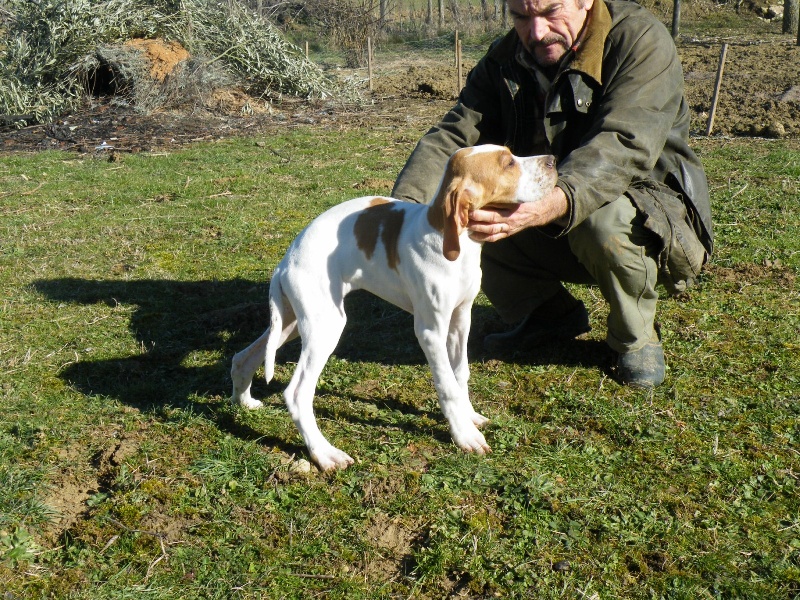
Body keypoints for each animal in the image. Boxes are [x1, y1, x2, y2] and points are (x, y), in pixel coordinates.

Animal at [231, 144, 556, 468]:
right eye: (508, 163)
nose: (552, 160)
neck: (451, 239)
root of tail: (286, 261)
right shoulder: (430, 331)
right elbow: (447, 385)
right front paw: (463, 435)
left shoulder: (460, 319)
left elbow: (460, 374)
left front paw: (469, 416)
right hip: (325, 328)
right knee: (296, 394)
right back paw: (325, 454)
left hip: (296, 323)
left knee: (244, 356)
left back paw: (244, 401)